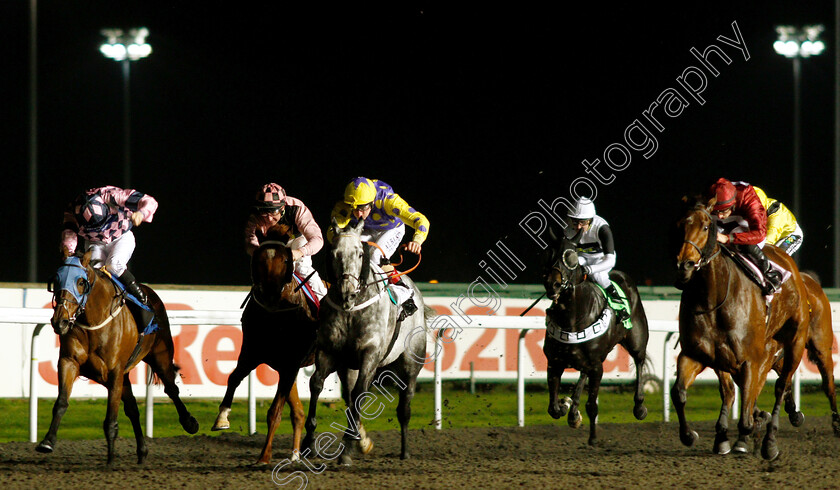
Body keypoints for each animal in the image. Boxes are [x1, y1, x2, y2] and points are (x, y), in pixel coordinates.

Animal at [38, 249, 200, 464]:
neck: (93, 321)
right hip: (123, 374)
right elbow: (61, 402)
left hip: (160, 355)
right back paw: (142, 451)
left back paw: (189, 422)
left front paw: (110, 461)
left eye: (80, 282)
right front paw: (47, 441)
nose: (60, 321)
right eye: (56, 280)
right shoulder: (69, 362)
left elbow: (111, 419)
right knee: (132, 408)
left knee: (171, 389)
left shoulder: (114, 370)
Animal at [210, 222, 318, 464]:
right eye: (258, 258)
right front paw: (222, 418)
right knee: (298, 413)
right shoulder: (252, 353)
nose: (269, 291)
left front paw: (264, 455)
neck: (275, 316)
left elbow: (275, 411)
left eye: (285, 259)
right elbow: (233, 378)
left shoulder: (290, 364)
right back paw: (296, 454)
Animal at [302, 219, 430, 468]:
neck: (351, 311)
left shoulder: (369, 354)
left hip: (410, 364)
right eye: (333, 253)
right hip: (348, 368)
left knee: (404, 407)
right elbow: (317, 384)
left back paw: (405, 451)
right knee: (349, 396)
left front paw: (347, 450)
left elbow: (361, 392)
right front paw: (308, 442)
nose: (347, 293)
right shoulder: (328, 351)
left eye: (360, 254)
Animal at [540, 234, 652, 444]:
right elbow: (553, 408)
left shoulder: (597, 367)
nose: (553, 284)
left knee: (640, 362)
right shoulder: (554, 362)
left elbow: (592, 405)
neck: (571, 319)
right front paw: (567, 406)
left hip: (636, 340)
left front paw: (592, 438)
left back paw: (639, 407)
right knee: (582, 375)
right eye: (548, 253)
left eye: (571, 257)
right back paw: (573, 409)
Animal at [672, 196, 812, 460]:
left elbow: (748, 409)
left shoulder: (750, 360)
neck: (713, 298)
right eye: (679, 225)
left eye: (705, 227)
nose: (685, 265)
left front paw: (745, 435)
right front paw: (691, 435)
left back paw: (770, 441)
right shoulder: (697, 354)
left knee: (781, 386)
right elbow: (680, 393)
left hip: (795, 343)